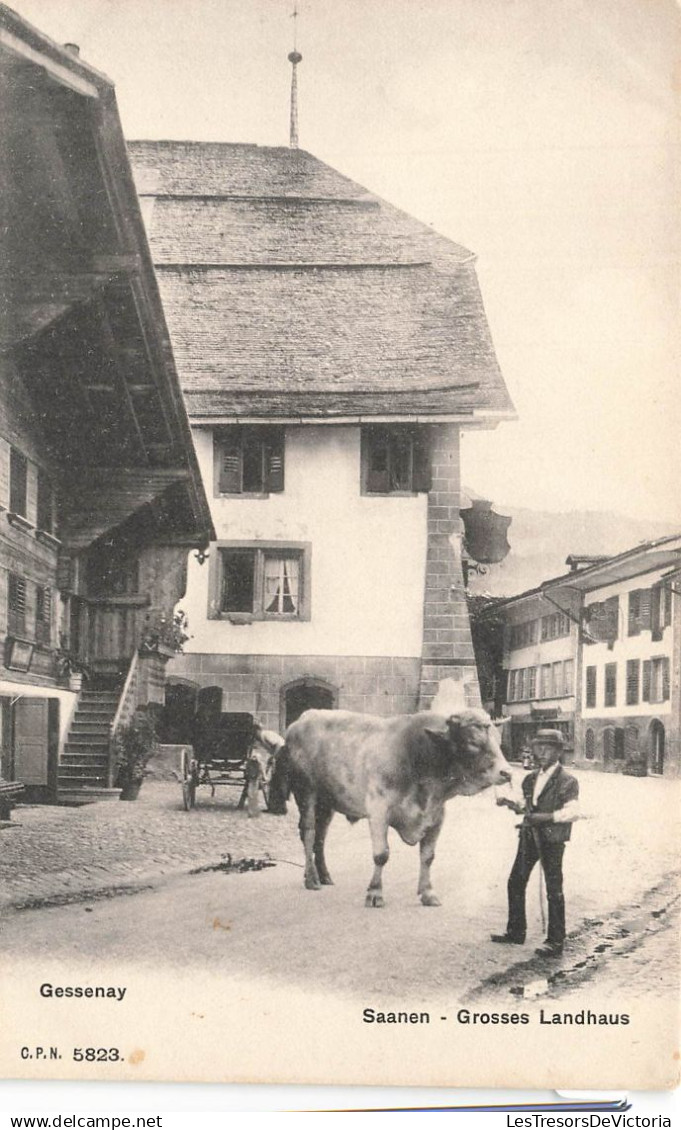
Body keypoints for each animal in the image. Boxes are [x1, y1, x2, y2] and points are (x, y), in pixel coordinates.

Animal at [266, 705, 510, 908]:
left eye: (499, 741)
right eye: (472, 743)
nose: (507, 772)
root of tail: (301, 720)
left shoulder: (437, 816)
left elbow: (428, 856)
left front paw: (428, 893)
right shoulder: (378, 811)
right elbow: (381, 855)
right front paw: (375, 893)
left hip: (327, 802)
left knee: (320, 837)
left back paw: (324, 875)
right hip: (306, 792)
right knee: (308, 833)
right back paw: (311, 878)